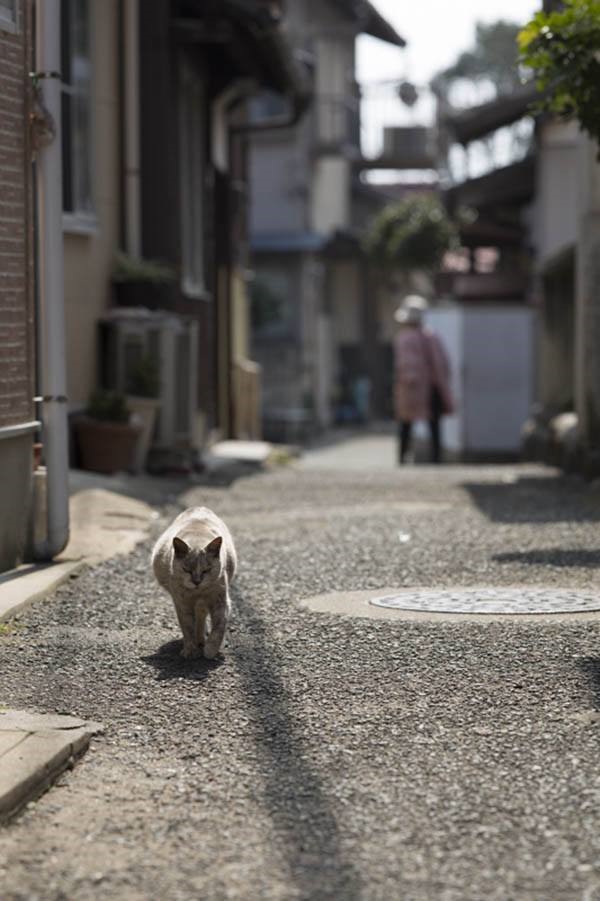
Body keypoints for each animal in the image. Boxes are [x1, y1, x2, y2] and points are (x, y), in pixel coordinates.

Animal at [151, 506, 238, 660]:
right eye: (187, 570)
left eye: (206, 570)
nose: (197, 581)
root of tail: (199, 507)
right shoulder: (182, 604)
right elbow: (187, 627)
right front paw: (190, 651)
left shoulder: (220, 601)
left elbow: (219, 628)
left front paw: (210, 650)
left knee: (202, 617)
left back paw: (202, 640)